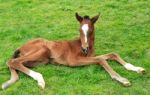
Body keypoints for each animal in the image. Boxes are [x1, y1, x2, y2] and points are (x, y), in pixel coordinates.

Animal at [1, 12, 145, 90]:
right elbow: (101, 59)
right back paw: (40, 80)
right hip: (42, 50)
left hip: (41, 61)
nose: (84, 48)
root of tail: (21, 47)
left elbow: (112, 54)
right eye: (79, 29)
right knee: (12, 61)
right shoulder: (73, 60)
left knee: (15, 63)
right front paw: (122, 79)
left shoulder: (90, 56)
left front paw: (138, 69)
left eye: (91, 30)